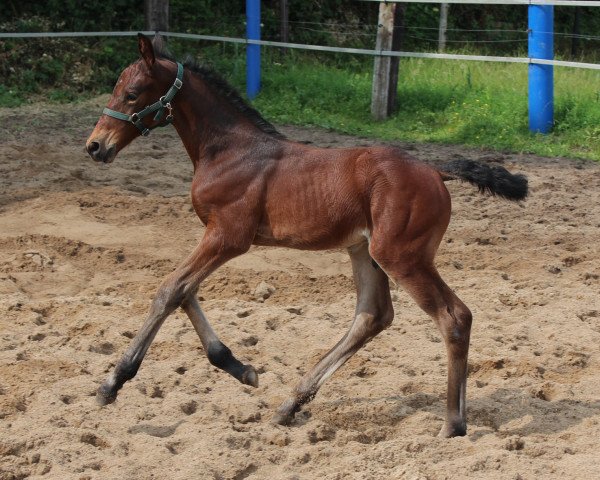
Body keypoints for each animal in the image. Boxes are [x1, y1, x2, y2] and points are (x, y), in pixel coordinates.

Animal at [84, 35, 524, 436]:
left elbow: (169, 290)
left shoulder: (228, 236)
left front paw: (112, 383)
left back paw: (453, 424)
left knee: (454, 317)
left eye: (132, 93)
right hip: (364, 249)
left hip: (401, 256)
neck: (227, 151)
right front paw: (241, 368)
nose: (95, 146)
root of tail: (435, 170)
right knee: (372, 315)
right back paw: (290, 404)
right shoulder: (215, 235)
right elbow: (185, 291)